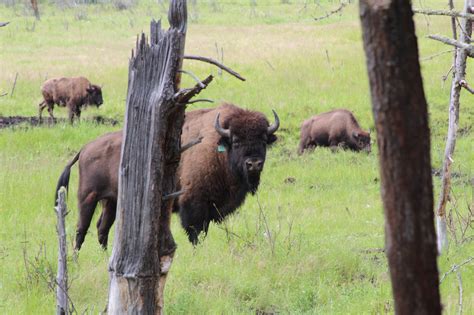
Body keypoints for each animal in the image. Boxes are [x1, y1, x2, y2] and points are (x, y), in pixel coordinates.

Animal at [56, 103, 280, 249]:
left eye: (263, 140)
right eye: (236, 140)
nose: (254, 164)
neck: (219, 150)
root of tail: (85, 148)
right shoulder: (193, 204)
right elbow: (195, 232)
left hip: (111, 201)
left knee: (102, 228)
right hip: (88, 197)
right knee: (81, 228)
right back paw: (76, 257)